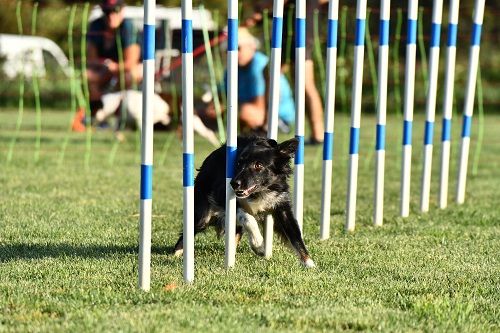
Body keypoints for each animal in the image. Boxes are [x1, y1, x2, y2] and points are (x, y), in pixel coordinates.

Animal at [174, 135, 314, 268]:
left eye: (258, 165)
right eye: (238, 164)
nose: (233, 184)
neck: (260, 192)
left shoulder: (281, 205)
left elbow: (295, 236)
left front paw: (309, 263)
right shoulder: (222, 195)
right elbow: (247, 217)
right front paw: (258, 244)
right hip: (204, 215)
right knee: (190, 229)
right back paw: (177, 253)